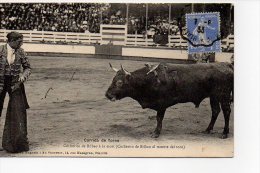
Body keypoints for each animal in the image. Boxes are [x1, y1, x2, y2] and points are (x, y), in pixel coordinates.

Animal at [105, 62, 234, 139]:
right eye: (113, 80)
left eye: (119, 82)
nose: (107, 95)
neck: (150, 79)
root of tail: (226, 65)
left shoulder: (161, 104)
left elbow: (159, 118)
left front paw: (156, 133)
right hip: (214, 97)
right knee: (215, 111)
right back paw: (208, 130)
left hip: (223, 96)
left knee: (226, 111)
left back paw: (224, 133)